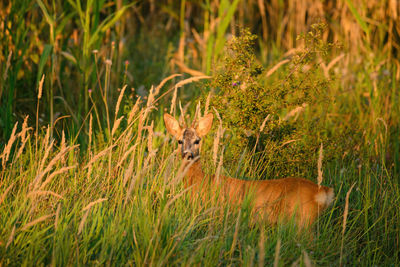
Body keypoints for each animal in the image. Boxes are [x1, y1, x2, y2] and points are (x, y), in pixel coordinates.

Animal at [162, 112, 334, 228]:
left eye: (197, 141)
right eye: (179, 141)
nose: (188, 154)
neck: (200, 182)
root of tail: (321, 190)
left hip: (303, 219)